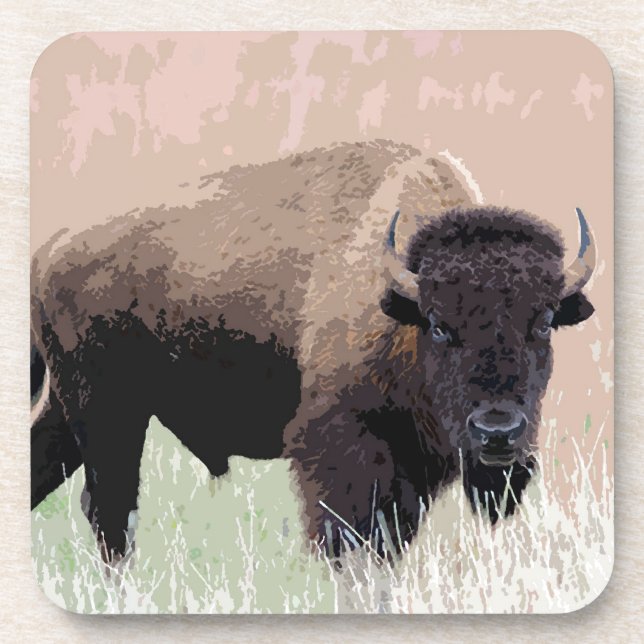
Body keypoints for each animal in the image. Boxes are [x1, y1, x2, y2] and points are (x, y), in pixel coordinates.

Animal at [31, 140, 595, 561]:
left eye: (545, 321)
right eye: (438, 326)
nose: (497, 431)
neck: (399, 299)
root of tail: (49, 249)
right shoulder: (344, 453)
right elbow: (350, 540)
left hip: (71, 409)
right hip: (107, 414)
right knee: (110, 512)